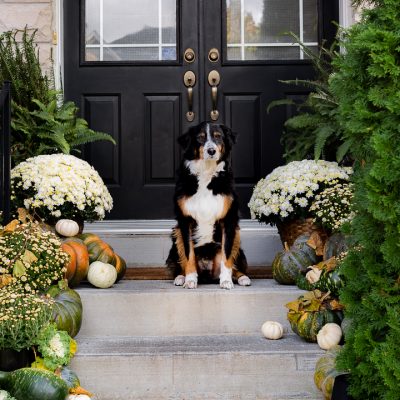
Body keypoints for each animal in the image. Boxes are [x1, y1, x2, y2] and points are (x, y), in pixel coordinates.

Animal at [167, 120, 252, 290]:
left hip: (237, 238)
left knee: (235, 265)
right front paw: (190, 280)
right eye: (200, 137)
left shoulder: (229, 221)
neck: (206, 172)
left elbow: (227, 256)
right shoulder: (184, 222)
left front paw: (226, 281)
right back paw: (181, 277)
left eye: (218, 136)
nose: (211, 150)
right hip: (175, 235)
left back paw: (242, 278)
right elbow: (188, 254)